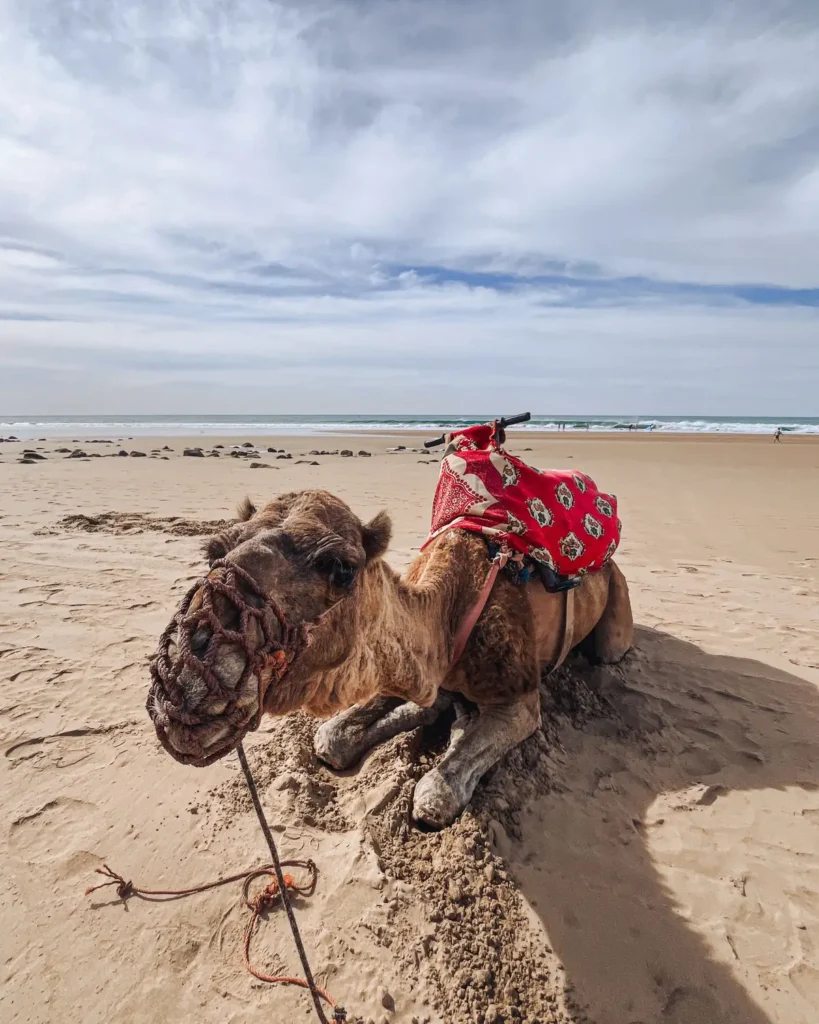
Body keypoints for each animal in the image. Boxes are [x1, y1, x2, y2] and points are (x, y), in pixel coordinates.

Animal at [147, 488, 633, 828]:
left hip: (616, 622)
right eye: (214, 552)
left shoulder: (519, 696)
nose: (184, 677)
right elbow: (330, 737)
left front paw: (456, 736)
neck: (448, 613)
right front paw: (448, 720)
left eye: (341, 569)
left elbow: (434, 795)